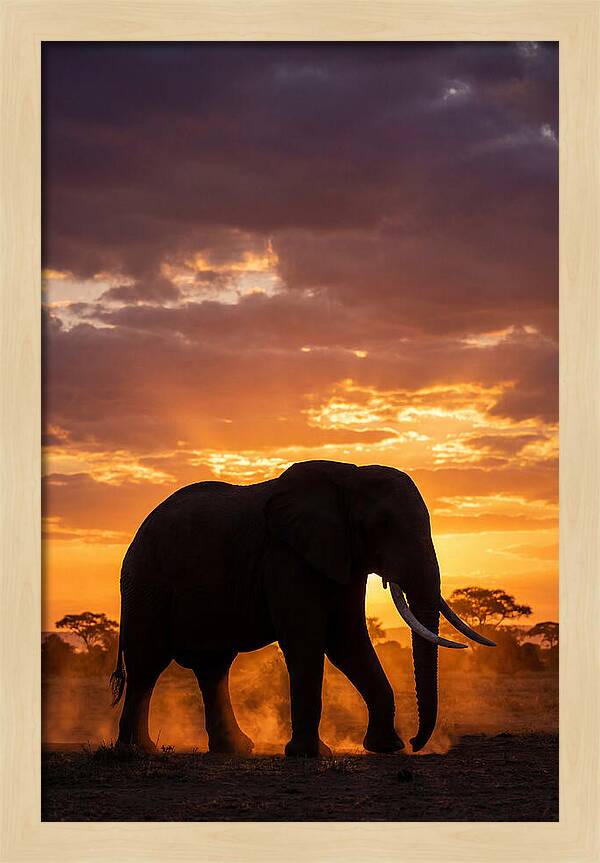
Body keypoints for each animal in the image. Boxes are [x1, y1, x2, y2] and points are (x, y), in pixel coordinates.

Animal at [110, 459, 494, 757]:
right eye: (382, 525)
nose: (416, 742)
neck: (349, 476)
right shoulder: (286, 556)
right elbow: (308, 640)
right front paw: (309, 754)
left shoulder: (342, 555)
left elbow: (347, 640)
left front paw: (387, 748)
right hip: (146, 582)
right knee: (148, 664)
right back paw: (137, 751)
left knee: (213, 667)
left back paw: (235, 749)